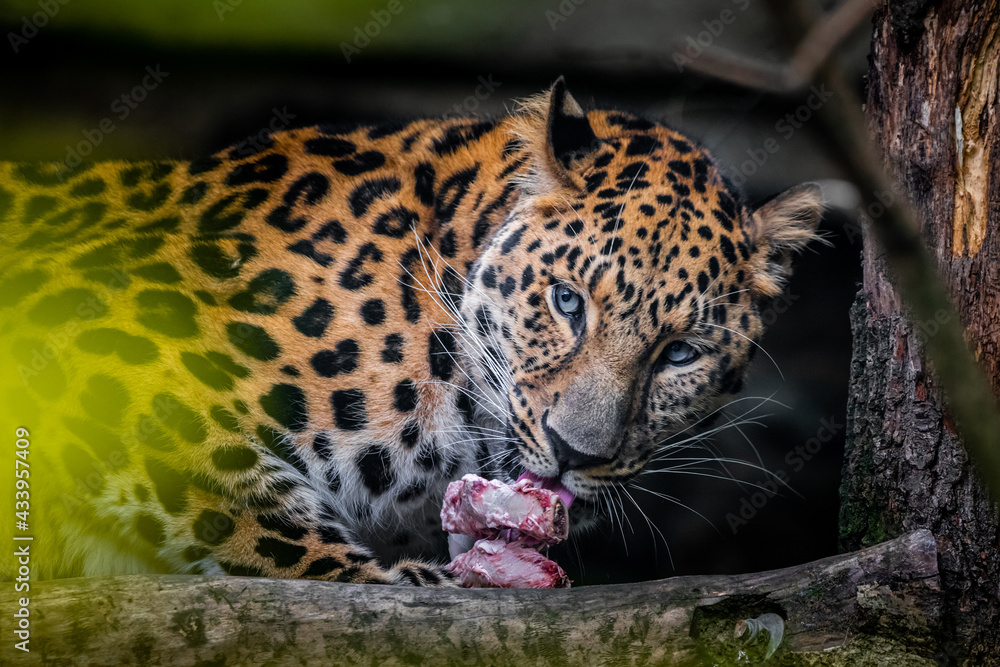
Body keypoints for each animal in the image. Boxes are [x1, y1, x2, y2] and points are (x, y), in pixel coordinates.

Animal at [0, 78, 822, 586]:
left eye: (679, 353)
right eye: (567, 302)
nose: (574, 453)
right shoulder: (93, 324)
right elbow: (236, 502)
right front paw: (397, 579)